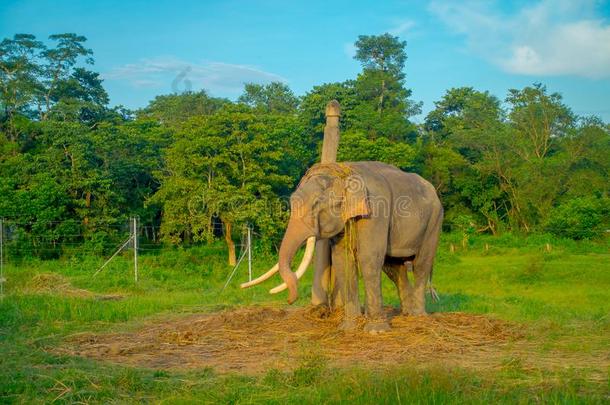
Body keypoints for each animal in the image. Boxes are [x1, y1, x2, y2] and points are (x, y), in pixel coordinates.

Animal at [242, 161, 442, 332]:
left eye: (316, 204)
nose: (290, 301)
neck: (347, 174)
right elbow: (342, 261)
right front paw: (348, 327)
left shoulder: (376, 212)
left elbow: (369, 259)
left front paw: (376, 331)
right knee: (394, 267)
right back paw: (407, 313)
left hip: (434, 222)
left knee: (421, 264)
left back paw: (418, 316)